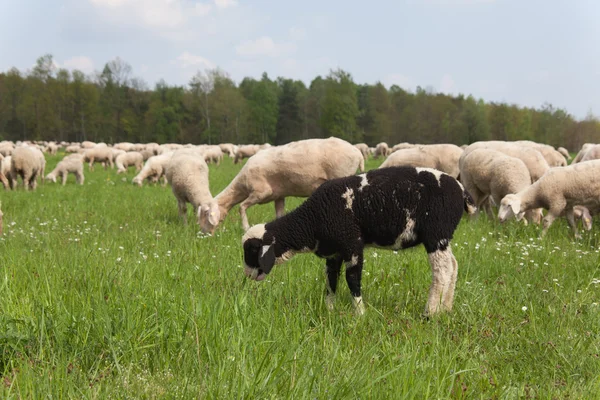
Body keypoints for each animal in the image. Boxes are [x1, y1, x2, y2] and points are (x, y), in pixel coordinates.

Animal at [199, 137, 364, 233]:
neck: (241, 186)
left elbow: (241, 207)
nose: (203, 234)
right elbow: (279, 214)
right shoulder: (279, 196)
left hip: (341, 176)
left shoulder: (261, 191)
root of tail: (358, 153)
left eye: (205, 214)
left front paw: (246, 228)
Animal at [241, 166, 476, 316]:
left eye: (252, 250)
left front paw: (360, 314)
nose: (248, 275)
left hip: (436, 233)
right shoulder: (333, 253)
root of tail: (462, 190)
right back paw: (446, 308)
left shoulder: (352, 244)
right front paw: (330, 310)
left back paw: (430, 312)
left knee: (442, 270)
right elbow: (331, 281)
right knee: (453, 265)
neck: (313, 220)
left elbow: (352, 279)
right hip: (443, 236)